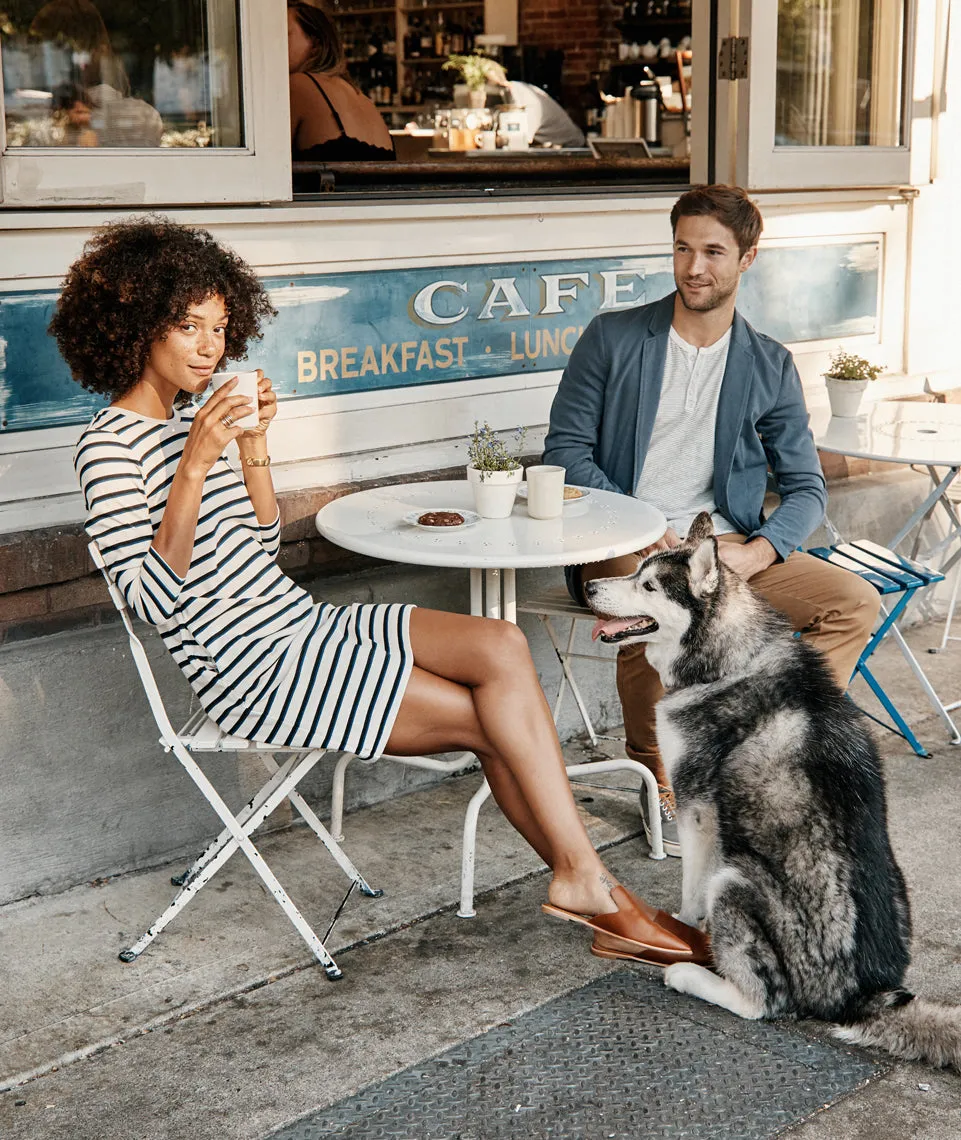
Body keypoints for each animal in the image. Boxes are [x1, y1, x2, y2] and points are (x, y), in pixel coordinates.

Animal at [583, 515, 961, 1067]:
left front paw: (679, 929)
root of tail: (862, 997)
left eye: (648, 587)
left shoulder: (698, 809)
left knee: (761, 1003)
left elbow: (690, 890)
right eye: (635, 569)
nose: (589, 587)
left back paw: (689, 974)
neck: (732, 660)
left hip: (735, 881)